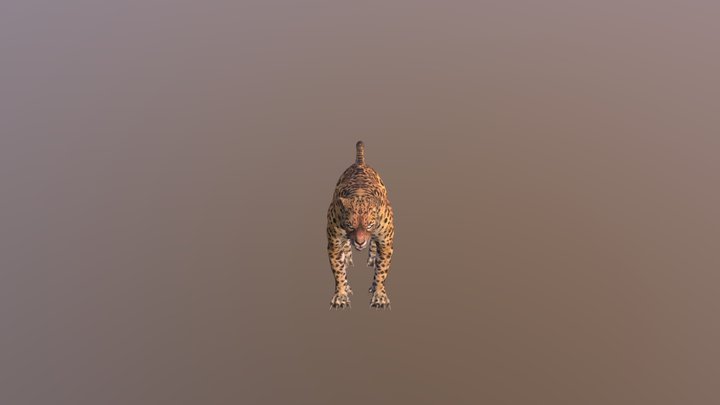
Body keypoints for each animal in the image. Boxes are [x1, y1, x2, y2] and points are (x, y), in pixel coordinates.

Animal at [327, 141, 395, 310]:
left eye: (369, 225)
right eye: (350, 225)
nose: (359, 242)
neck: (360, 193)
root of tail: (360, 163)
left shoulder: (386, 243)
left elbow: (381, 270)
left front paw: (379, 295)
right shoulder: (334, 243)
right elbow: (338, 271)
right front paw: (341, 295)